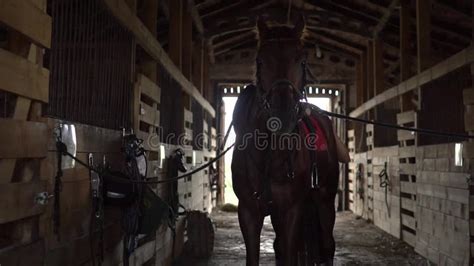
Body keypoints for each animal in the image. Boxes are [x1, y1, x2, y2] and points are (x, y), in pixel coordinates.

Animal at [231, 15, 338, 264]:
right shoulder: (248, 211)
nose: (283, 115)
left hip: (325, 200)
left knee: (328, 246)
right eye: (260, 61)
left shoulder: (291, 210)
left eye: (302, 61)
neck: (269, 154)